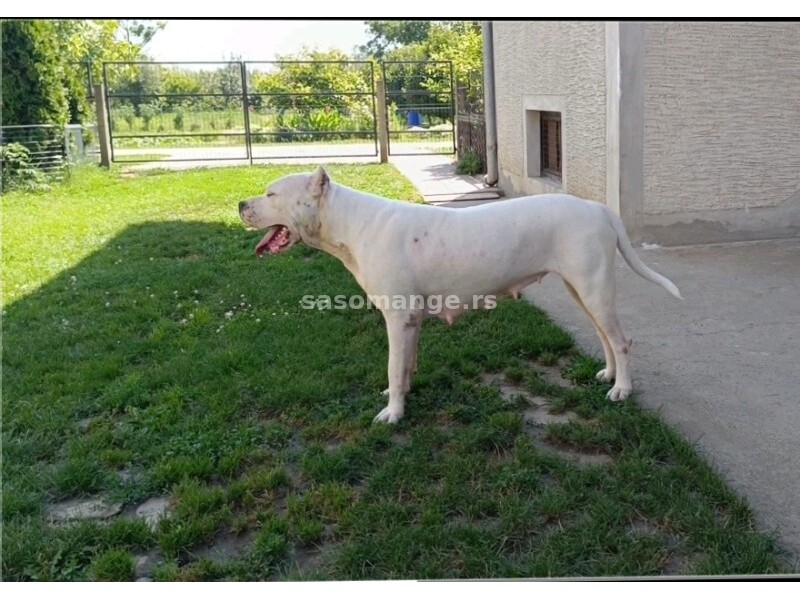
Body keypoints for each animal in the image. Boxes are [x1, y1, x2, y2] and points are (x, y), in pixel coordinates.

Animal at [238, 166, 680, 424]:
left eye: (271, 194)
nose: (241, 202)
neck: (349, 224)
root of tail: (597, 208)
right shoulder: (410, 321)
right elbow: (405, 366)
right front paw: (403, 393)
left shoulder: (397, 318)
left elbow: (392, 366)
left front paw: (392, 413)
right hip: (583, 289)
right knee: (606, 336)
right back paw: (609, 375)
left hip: (593, 286)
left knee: (621, 340)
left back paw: (622, 389)